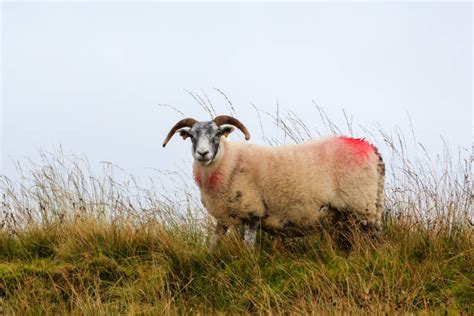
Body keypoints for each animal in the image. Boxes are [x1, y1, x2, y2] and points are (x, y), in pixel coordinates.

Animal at [163, 115, 386, 248]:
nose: (203, 153)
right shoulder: (223, 217)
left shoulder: (251, 212)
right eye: (192, 136)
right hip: (354, 212)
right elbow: (213, 245)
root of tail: (373, 151)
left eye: (217, 134)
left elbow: (248, 248)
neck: (230, 162)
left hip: (363, 207)